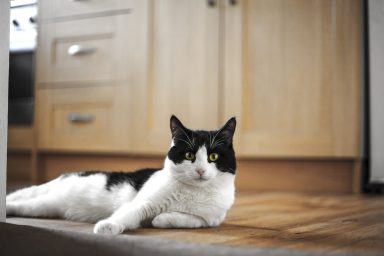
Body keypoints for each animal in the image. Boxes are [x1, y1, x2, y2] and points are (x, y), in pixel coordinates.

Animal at [6, 115, 237, 235]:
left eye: (214, 156)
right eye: (189, 155)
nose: (200, 170)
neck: (193, 191)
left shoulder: (212, 218)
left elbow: (193, 220)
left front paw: (162, 219)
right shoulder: (142, 202)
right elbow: (128, 212)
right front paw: (108, 226)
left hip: (45, 206)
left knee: (24, 204)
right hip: (46, 196)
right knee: (19, 197)